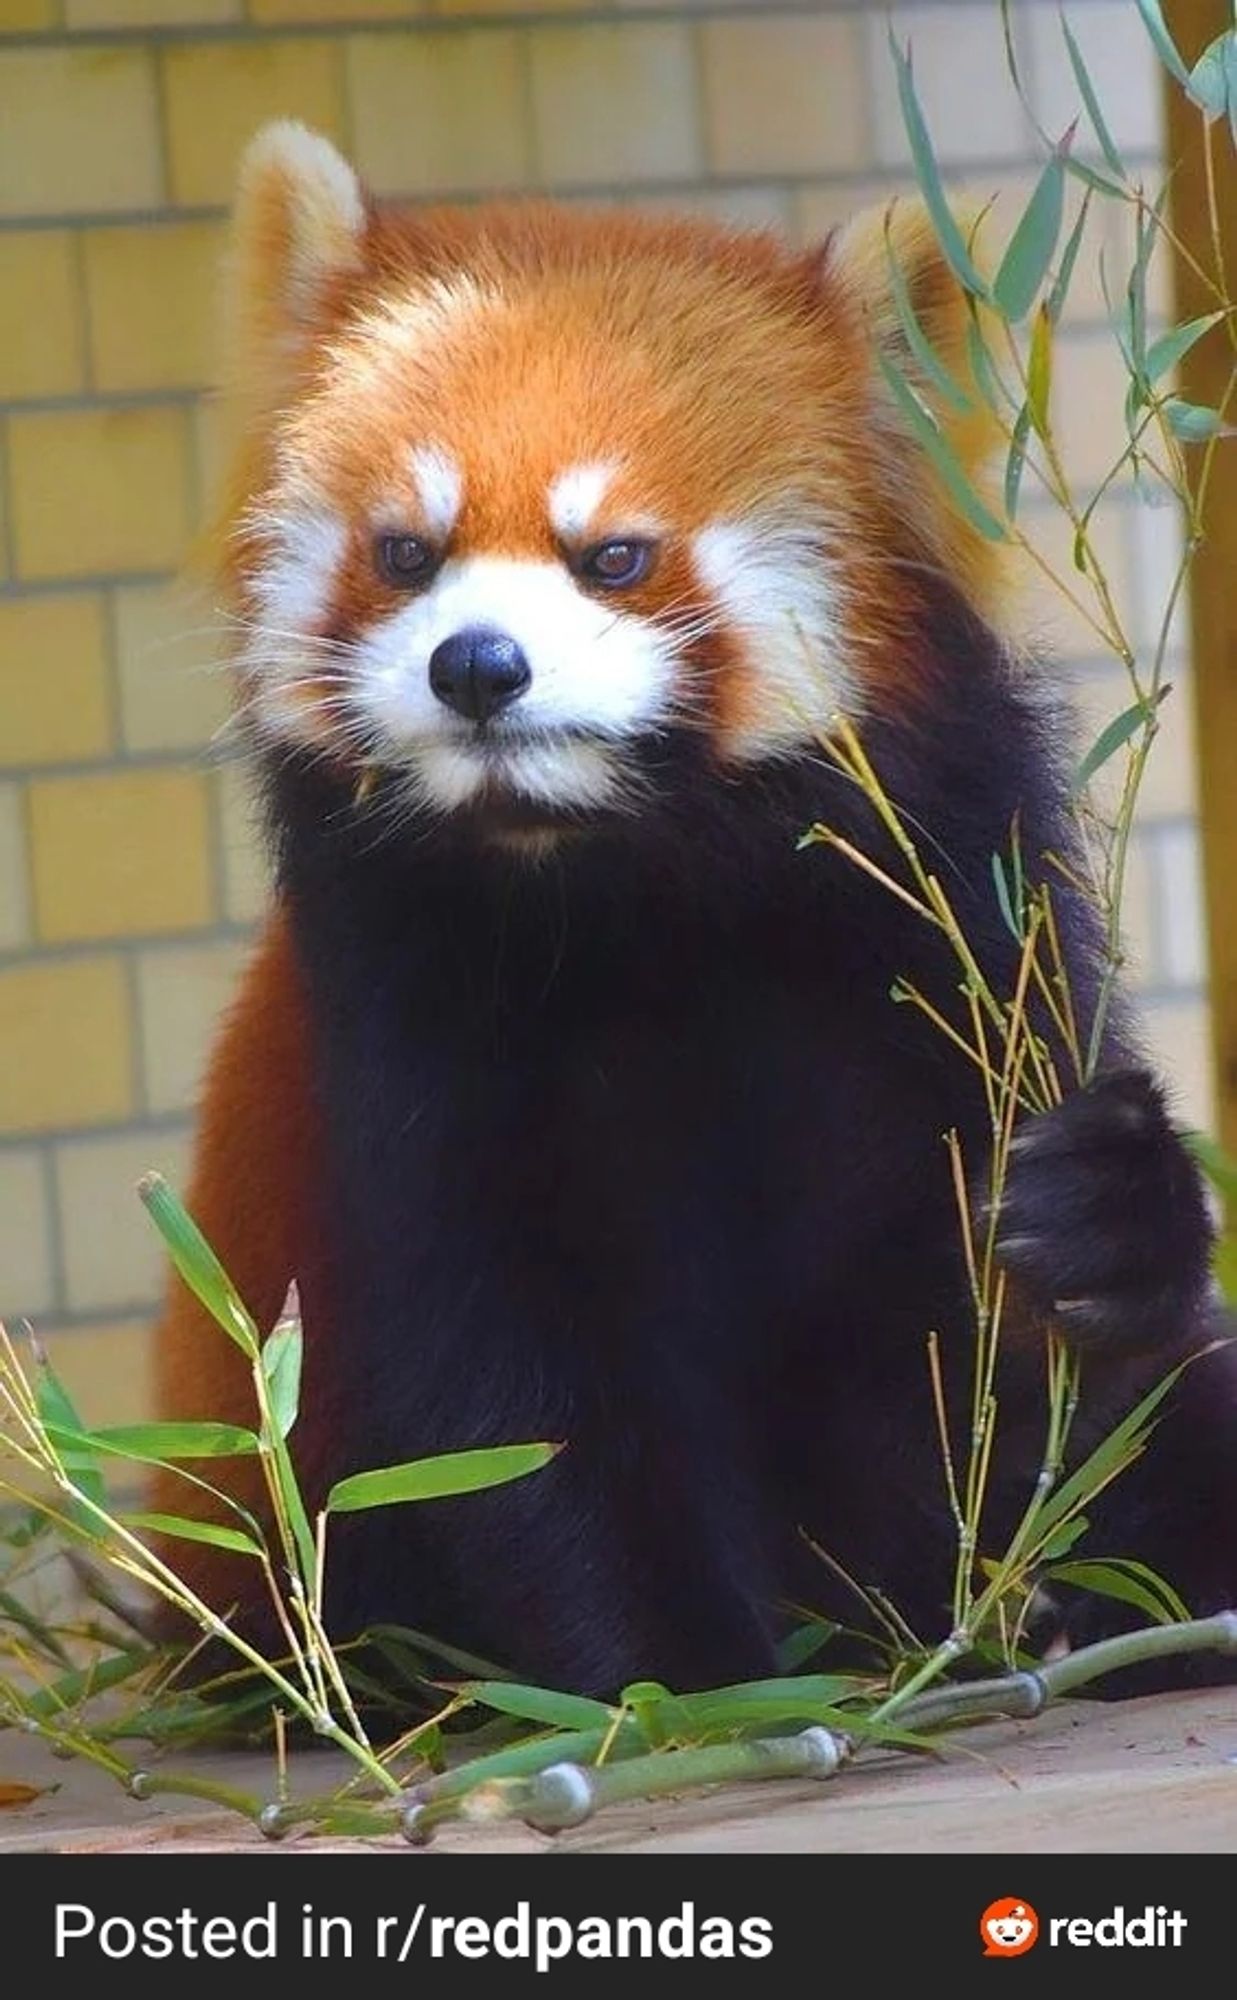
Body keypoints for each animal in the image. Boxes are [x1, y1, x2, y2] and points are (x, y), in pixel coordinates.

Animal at [149, 121, 1224, 1688]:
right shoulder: (409, 1018)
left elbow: (1005, 1342)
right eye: (405, 552)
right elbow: (526, 1397)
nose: (478, 665)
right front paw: (688, 1684)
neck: (636, 879)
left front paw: (1096, 1217)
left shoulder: (950, 920)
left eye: (615, 555)